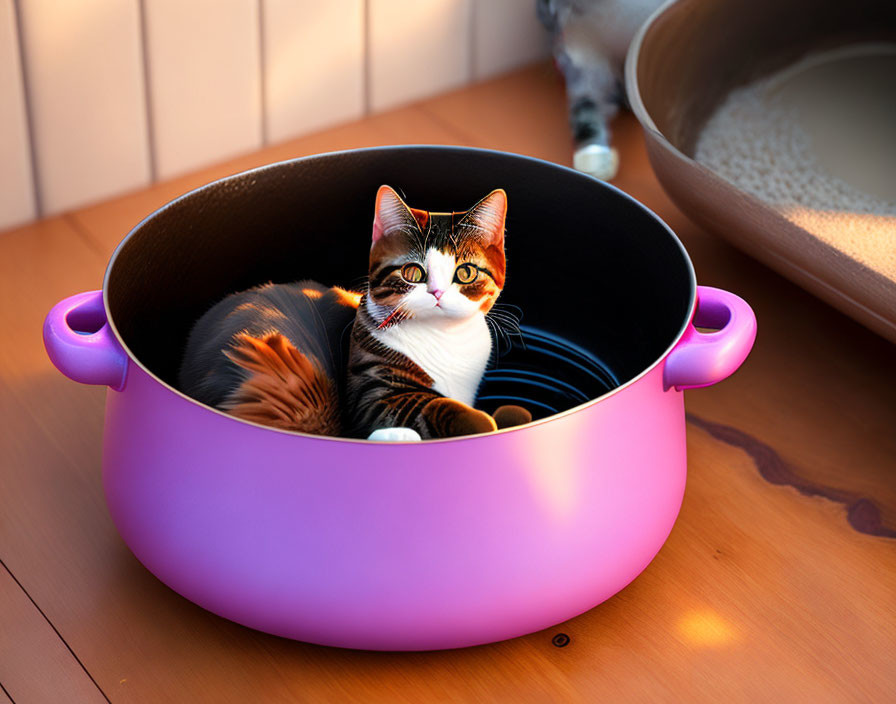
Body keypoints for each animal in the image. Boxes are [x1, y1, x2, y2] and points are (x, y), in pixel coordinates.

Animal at [178, 187, 524, 440]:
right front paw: (485, 422)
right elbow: (435, 407)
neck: (446, 339)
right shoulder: (370, 398)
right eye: (412, 273)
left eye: (465, 273)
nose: (437, 293)